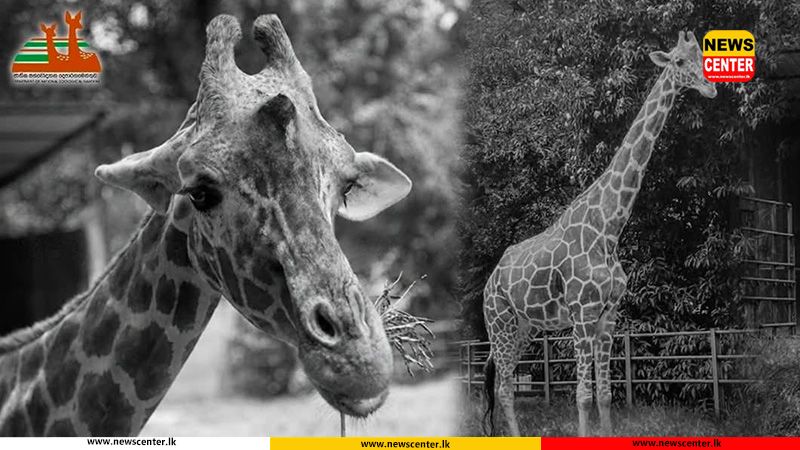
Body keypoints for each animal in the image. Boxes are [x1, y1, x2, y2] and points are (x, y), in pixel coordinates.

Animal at [481, 31, 717, 437]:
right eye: (679, 62)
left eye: (703, 56)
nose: (710, 87)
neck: (609, 228)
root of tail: (490, 280)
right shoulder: (582, 314)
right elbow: (583, 396)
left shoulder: (608, 316)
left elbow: (606, 395)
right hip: (499, 323)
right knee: (504, 386)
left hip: (525, 327)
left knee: (504, 383)